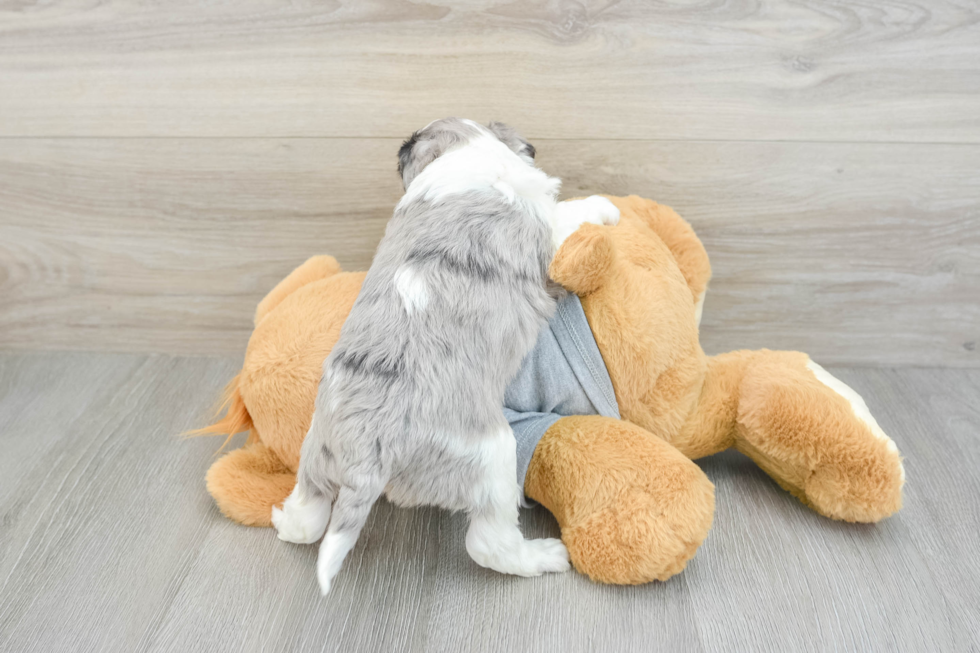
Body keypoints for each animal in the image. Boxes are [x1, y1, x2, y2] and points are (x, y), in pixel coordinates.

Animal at [272, 118, 616, 596]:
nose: (402, 144)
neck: (465, 156)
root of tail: (366, 449)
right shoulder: (545, 226)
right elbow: (572, 212)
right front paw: (607, 207)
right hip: (492, 457)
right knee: (488, 544)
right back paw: (545, 556)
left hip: (316, 453)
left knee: (309, 514)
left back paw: (284, 519)